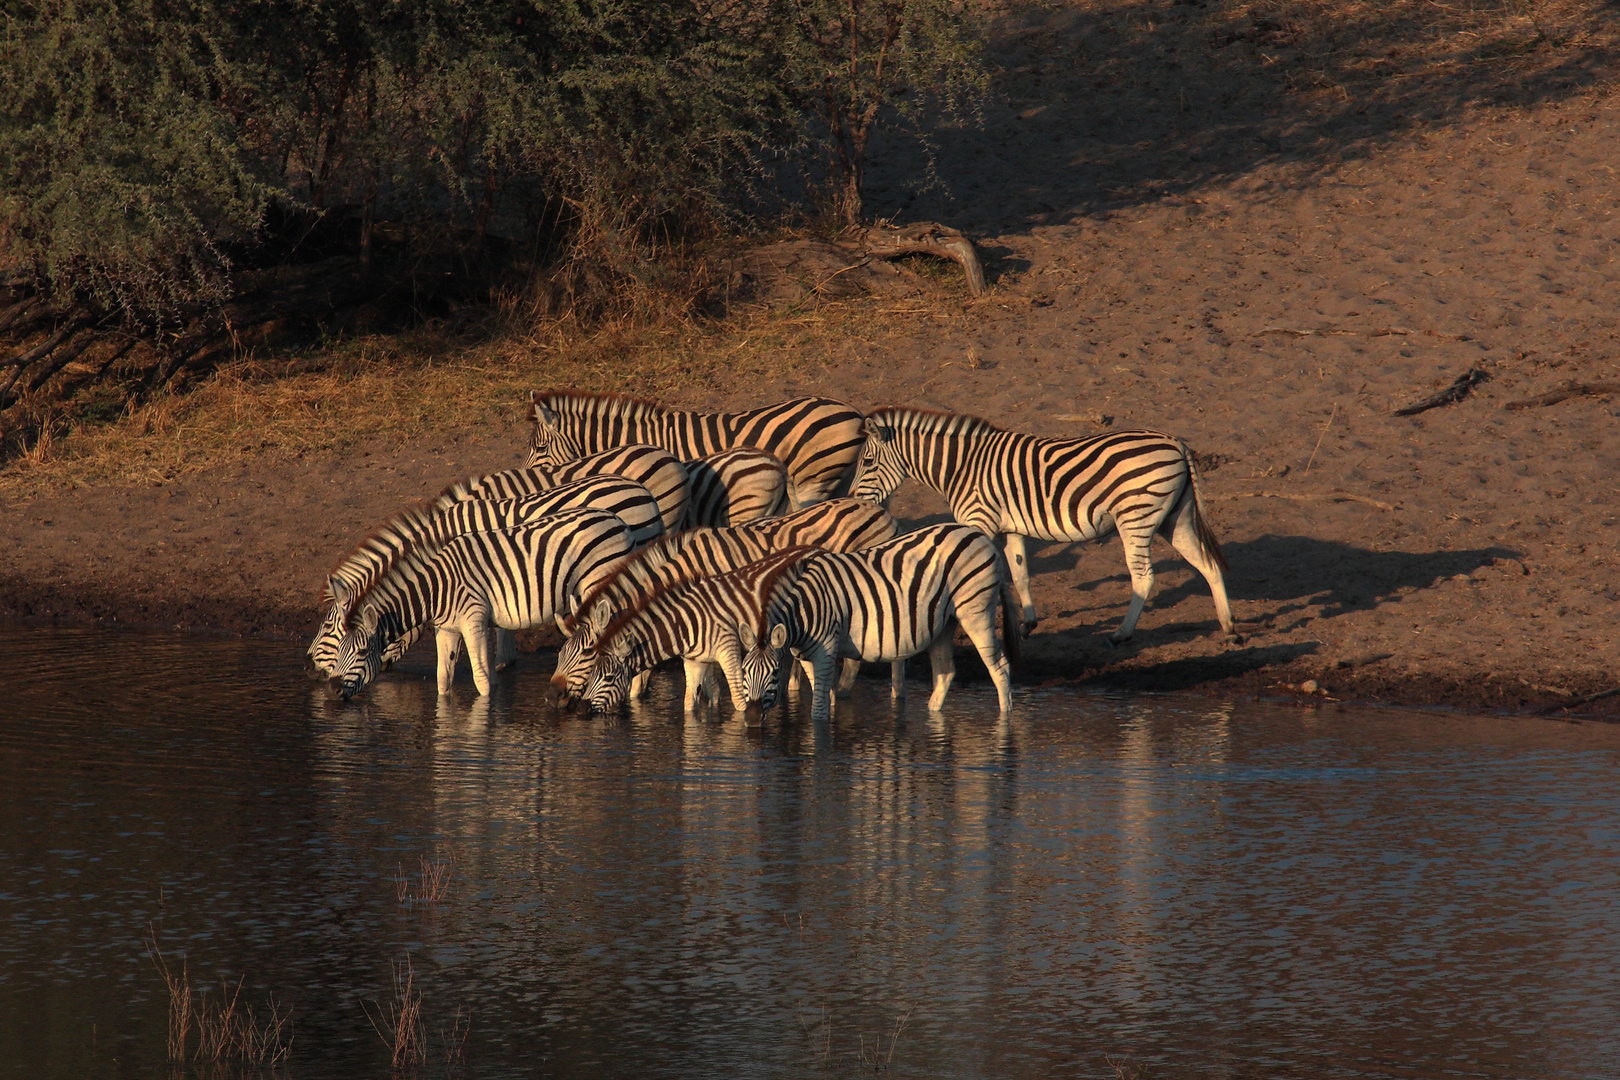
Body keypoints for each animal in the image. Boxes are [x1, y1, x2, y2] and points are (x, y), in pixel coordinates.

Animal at [325, 508, 635, 702]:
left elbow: (482, 679)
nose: (332, 691)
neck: (438, 587)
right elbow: (444, 678)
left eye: (362, 651)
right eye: (339, 647)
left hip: (602, 585)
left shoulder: (473, 620)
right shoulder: (448, 628)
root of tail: (617, 520)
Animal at [848, 404, 1237, 641]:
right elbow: (1020, 572)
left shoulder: (979, 519)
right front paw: (1028, 624)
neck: (962, 467)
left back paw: (1122, 634)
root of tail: (1176, 443)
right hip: (1175, 517)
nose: (853, 501)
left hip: (1136, 516)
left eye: (866, 462)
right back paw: (1229, 627)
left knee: (1144, 576)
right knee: (1208, 564)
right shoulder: (1010, 527)